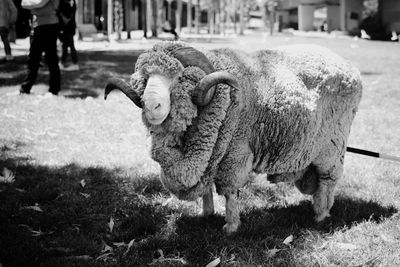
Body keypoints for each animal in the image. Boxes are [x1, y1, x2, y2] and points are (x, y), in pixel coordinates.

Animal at [105, 42, 362, 234]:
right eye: (145, 79)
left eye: (178, 78)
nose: (151, 107)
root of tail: (350, 67)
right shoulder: (211, 154)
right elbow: (207, 187)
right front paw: (207, 213)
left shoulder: (235, 153)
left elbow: (230, 192)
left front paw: (231, 226)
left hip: (332, 145)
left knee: (328, 180)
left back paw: (321, 214)